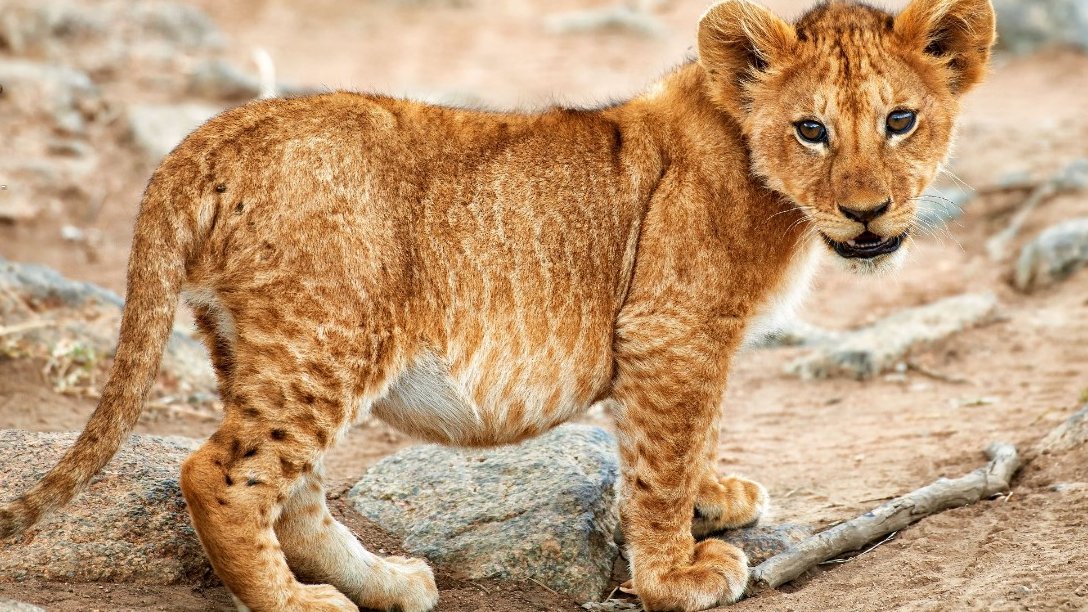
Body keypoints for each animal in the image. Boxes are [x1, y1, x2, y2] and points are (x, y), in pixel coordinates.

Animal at [0, 0, 995, 610]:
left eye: (900, 121)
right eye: (811, 129)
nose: (866, 213)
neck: (767, 183)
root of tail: (210, 135)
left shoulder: (688, 344)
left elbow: (692, 435)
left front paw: (716, 499)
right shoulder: (671, 329)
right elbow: (663, 458)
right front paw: (677, 573)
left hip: (257, 343)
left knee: (293, 492)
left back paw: (386, 583)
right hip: (327, 338)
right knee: (222, 475)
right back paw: (297, 604)